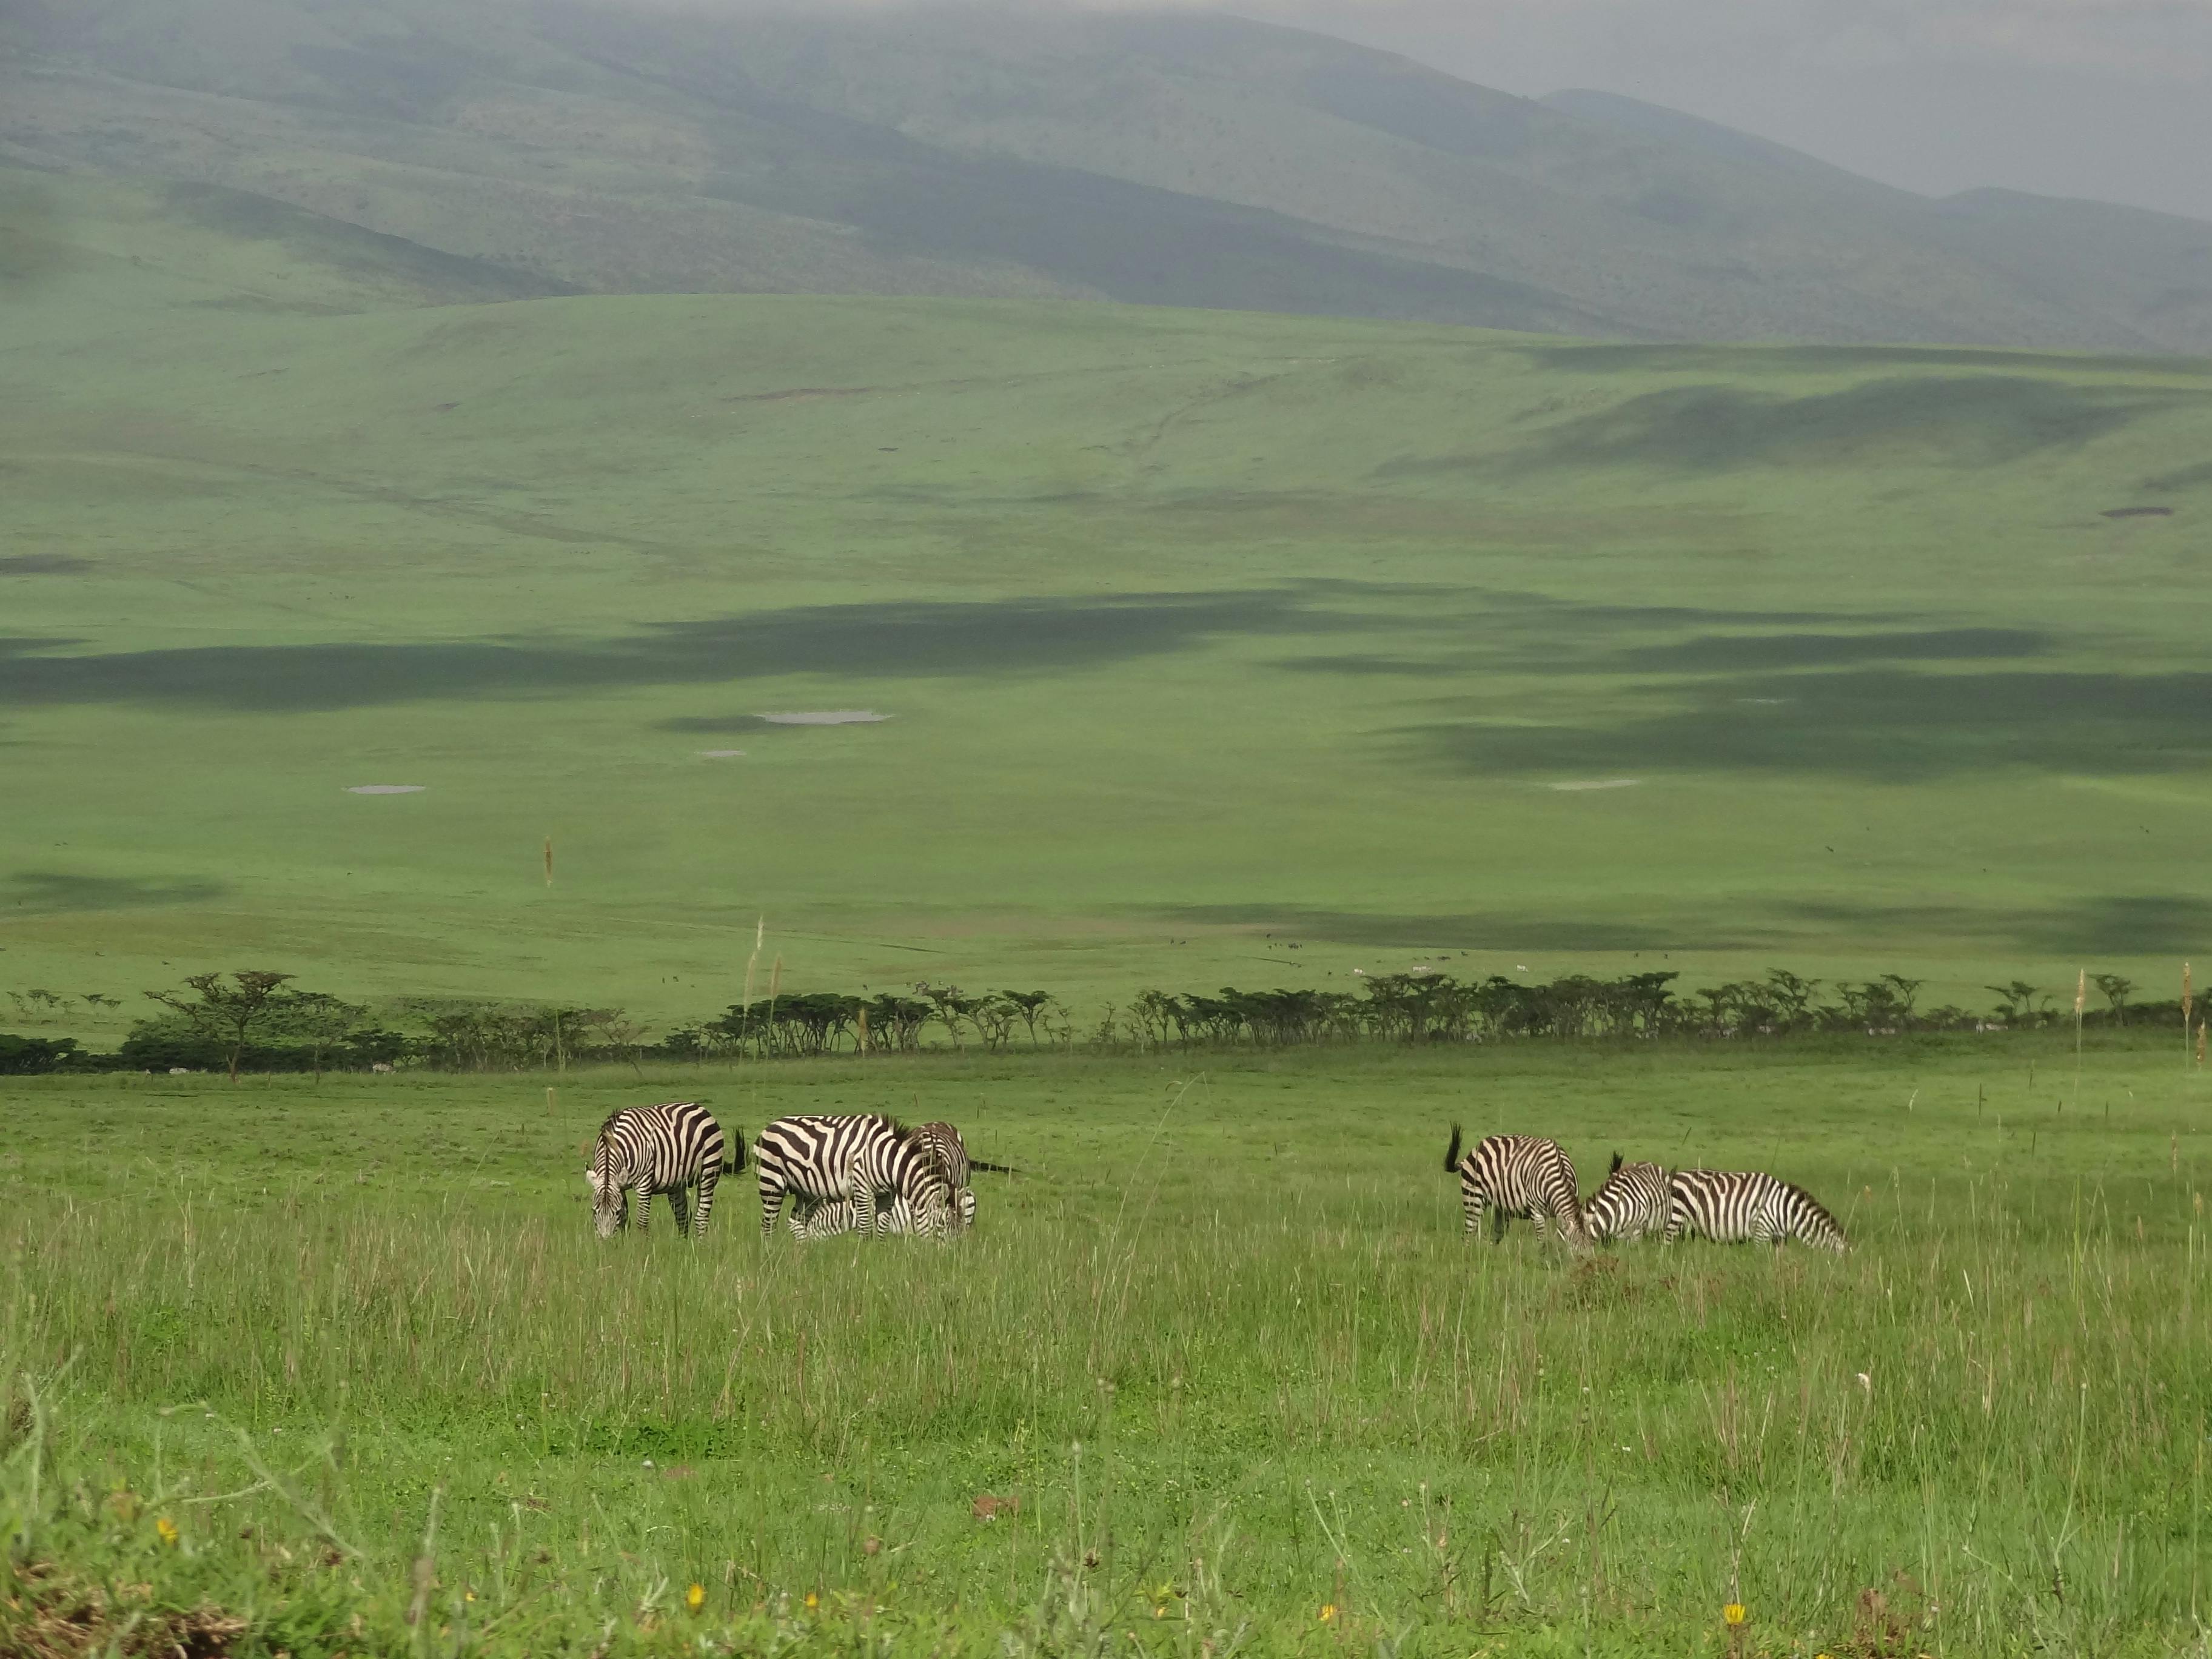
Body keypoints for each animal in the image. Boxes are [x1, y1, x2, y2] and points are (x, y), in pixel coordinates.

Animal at [585, 1102, 741, 1239]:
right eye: (593, 1211)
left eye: (616, 1212)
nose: (606, 1243)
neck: (613, 1144)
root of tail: (702, 1109)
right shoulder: (620, 1187)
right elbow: (625, 1221)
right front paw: (622, 1246)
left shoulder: (644, 1183)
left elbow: (641, 1222)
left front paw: (640, 1249)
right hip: (677, 1183)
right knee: (683, 1216)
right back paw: (683, 1246)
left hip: (709, 1170)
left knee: (701, 1217)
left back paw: (701, 1248)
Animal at [755, 1114, 954, 1239]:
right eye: (942, 1224)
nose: (945, 1257)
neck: (886, 1159)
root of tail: (768, 1127)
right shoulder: (862, 1186)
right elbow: (866, 1226)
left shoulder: (886, 1194)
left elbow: (881, 1227)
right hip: (771, 1183)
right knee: (767, 1227)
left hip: (806, 1192)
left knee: (796, 1223)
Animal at [1443, 1125, 1590, 1250]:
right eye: (1577, 1252)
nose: (1588, 1264)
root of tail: (1478, 1146)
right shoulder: (1537, 1213)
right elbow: (1542, 1242)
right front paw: (1543, 1259)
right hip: (1473, 1199)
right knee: (1468, 1234)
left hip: (1500, 1208)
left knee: (1495, 1235)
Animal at [1663, 1169, 1846, 1252]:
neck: (1787, 1212)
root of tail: (1674, 1176)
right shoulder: (1761, 1231)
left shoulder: (1780, 1238)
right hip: (1674, 1221)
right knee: (1665, 1250)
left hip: (1685, 1228)